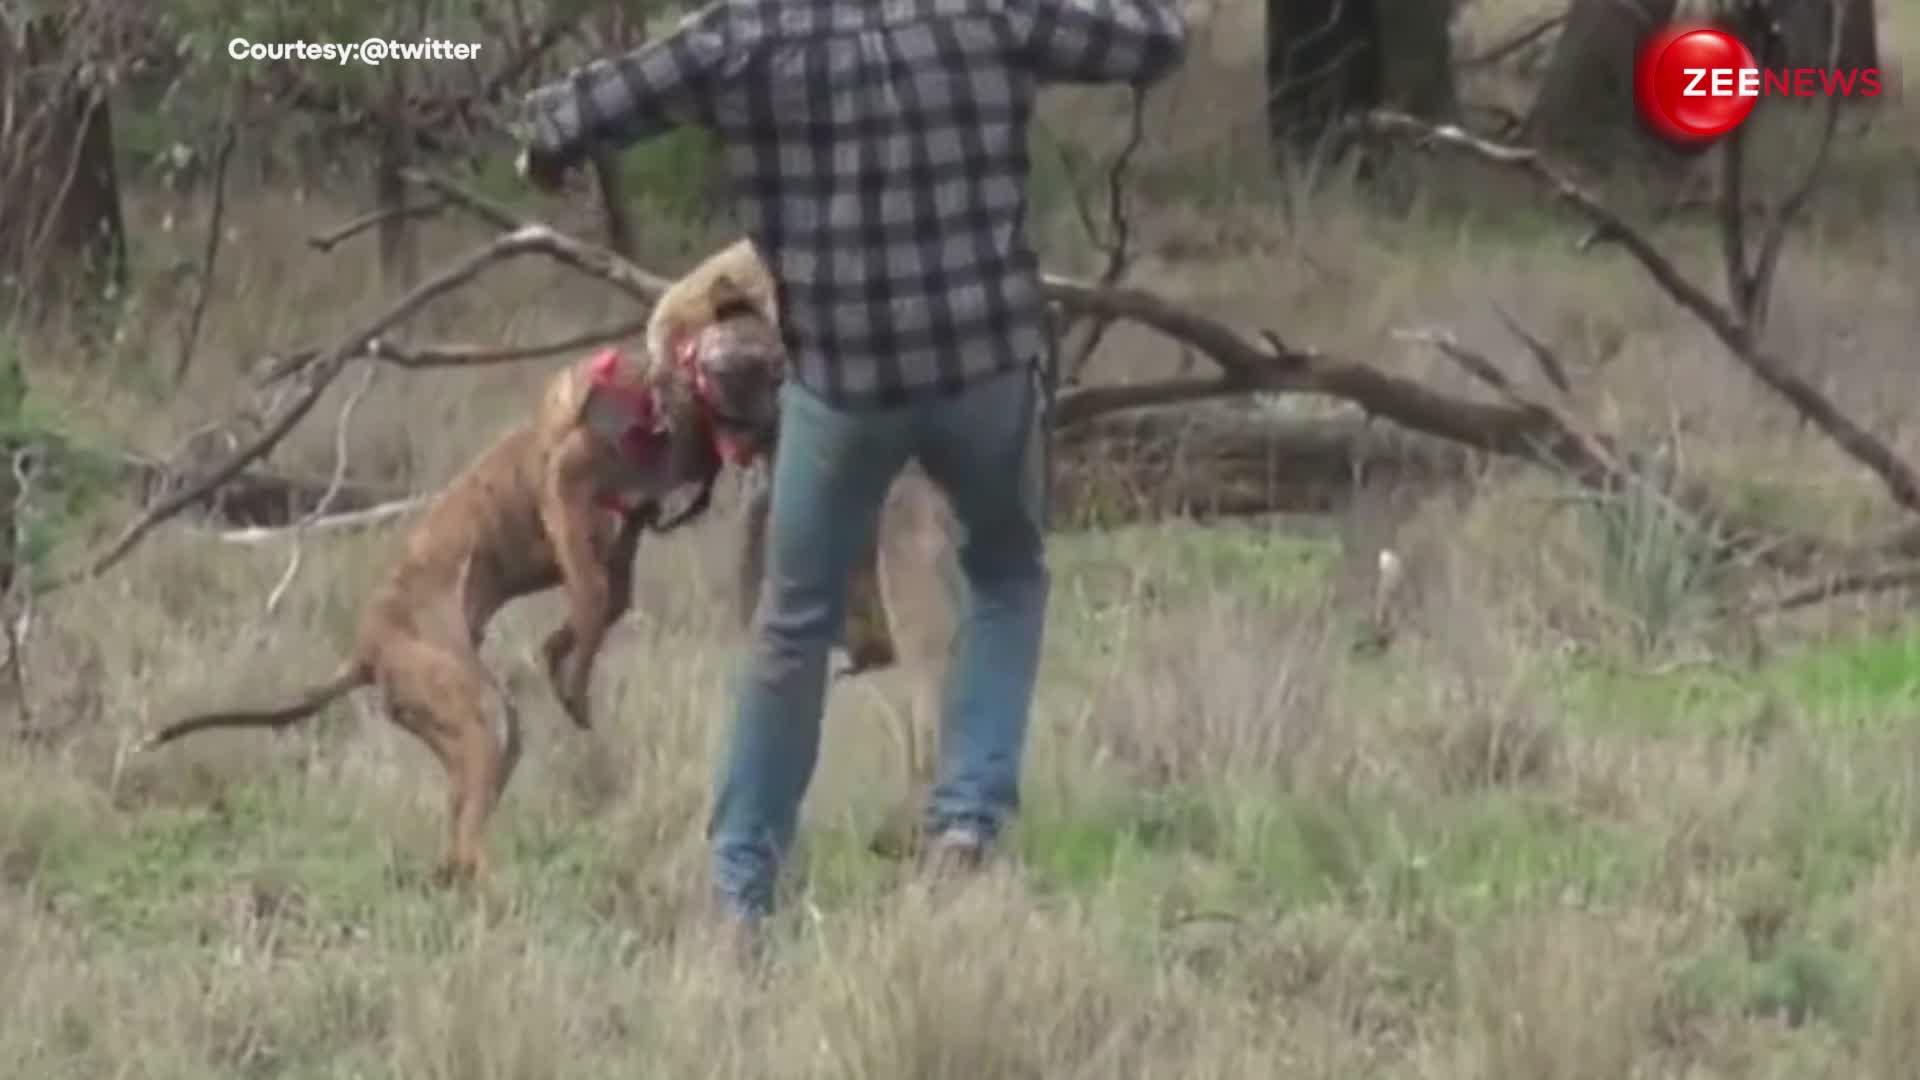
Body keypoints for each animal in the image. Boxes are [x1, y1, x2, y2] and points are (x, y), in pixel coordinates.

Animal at [139, 245, 787, 883]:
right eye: (740, 364)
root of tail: (366, 651)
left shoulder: (621, 524)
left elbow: (606, 596)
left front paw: (566, 660)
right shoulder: (568, 496)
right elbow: (594, 597)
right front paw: (572, 673)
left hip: (474, 728)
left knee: (463, 824)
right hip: (472, 711)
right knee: (471, 834)